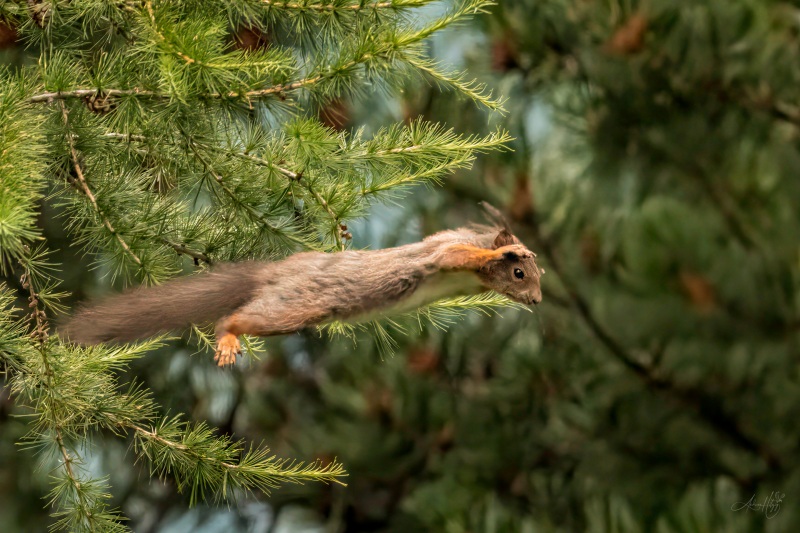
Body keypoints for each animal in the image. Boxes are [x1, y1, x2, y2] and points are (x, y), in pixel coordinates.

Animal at [60, 207, 543, 367]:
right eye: (520, 275)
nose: (538, 300)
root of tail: (274, 274)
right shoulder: (443, 252)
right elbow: (454, 256)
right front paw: (501, 252)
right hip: (296, 306)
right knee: (235, 317)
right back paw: (228, 337)